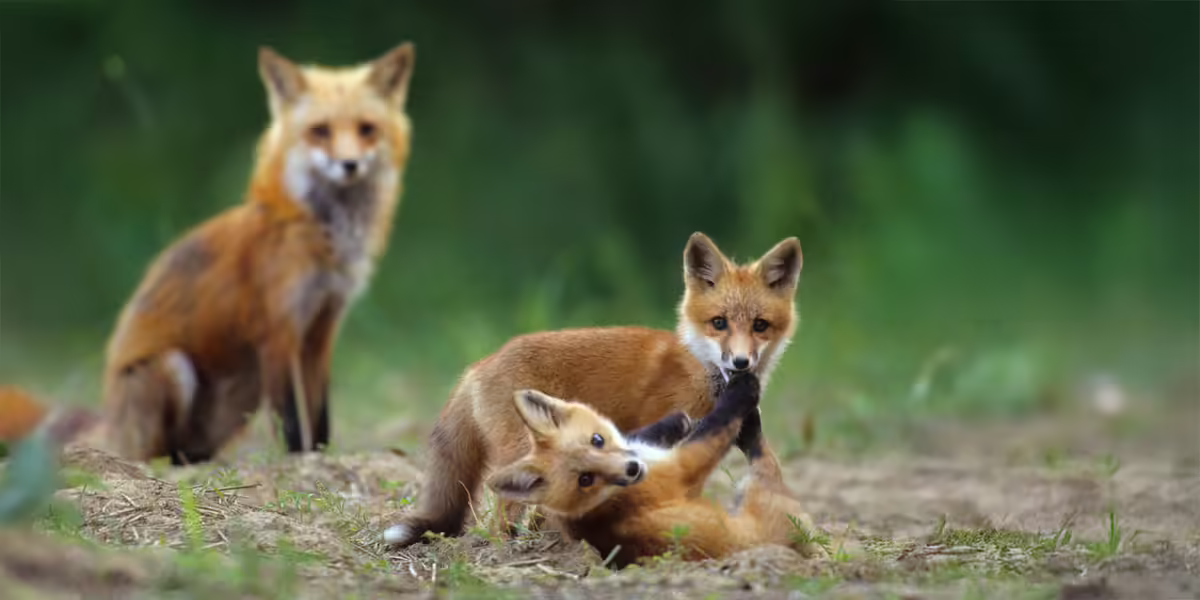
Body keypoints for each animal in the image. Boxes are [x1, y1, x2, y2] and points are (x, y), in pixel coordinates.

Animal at [100, 42, 417, 464]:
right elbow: (292, 418)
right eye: (320, 132)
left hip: (243, 395)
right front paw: (300, 461)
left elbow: (319, 413)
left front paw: (320, 457)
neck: (321, 238)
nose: (348, 164)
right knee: (159, 454)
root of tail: (110, 427)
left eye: (367, 129)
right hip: (176, 368)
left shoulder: (322, 327)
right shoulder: (278, 330)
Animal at [383, 231, 804, 547]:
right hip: (523, 454)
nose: (740, 363)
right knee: (501, 517)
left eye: (760, 326)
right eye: (719, 323)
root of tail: (478, 365)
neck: (703, 371)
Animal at [484, 373, 826, 567]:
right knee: (764, 456)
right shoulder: (684, 466)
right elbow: (720, 423)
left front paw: (677, 421)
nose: (632, 470)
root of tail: (803, 546)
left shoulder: (649, 450)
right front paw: (741, 392)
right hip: (760, 489)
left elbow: (642, 434)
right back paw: (751, 420)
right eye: (586, 479)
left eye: (597, 440)